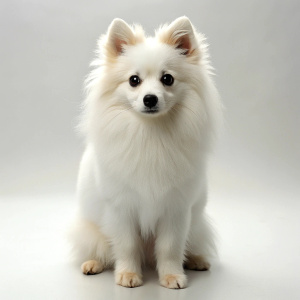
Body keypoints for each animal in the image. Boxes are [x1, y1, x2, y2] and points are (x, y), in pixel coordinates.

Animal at [69, 16, 221, 288]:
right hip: (90, 230)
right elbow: (126, 245)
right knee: (101, 249)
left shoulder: (176, 209)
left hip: (197, 226)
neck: (151, 133)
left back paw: (196, 260)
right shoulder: (121, 208)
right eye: (134, 80)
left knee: (190, 245)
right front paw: (128, 275)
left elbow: (170, 248)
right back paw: (93, 264)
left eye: (167, 79)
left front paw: (172, 276)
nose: (150, 99)